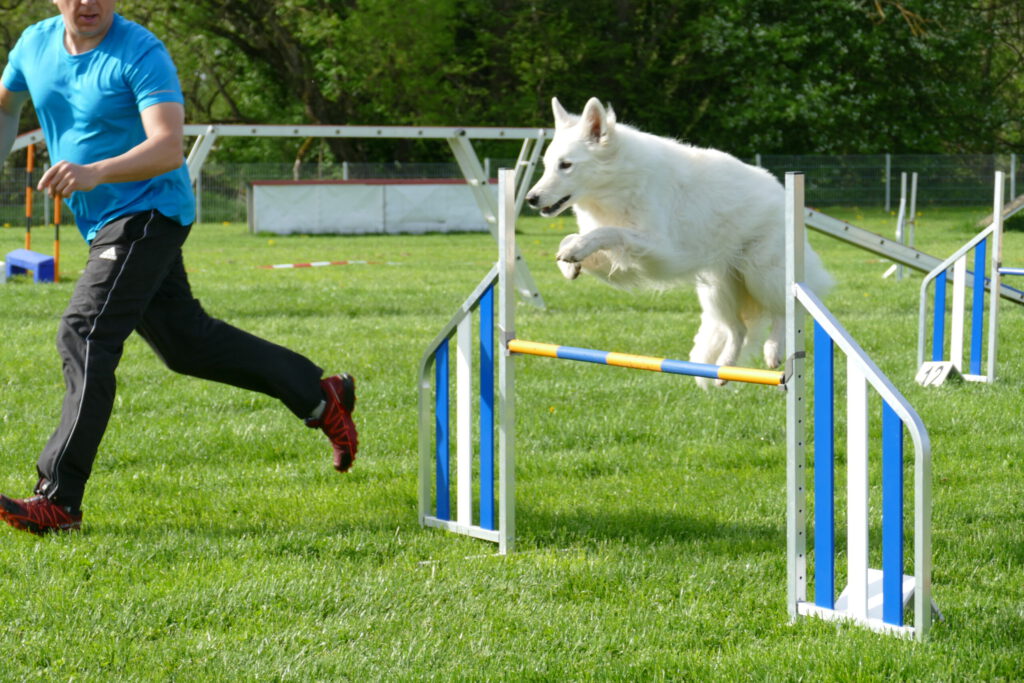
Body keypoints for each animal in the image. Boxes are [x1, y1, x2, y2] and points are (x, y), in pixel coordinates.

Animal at [525, 97, 834, 387]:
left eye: (566, 165)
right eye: (546, 166)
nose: (530, 198)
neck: (619, 181)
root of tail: (782, 191)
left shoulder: (657, 247)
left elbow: (608, 232)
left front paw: (575, 251)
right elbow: (576, 237)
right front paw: (570, 261)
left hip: (760, 275)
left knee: (783, 310)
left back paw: (773, 350)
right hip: (719, 290)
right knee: (738, 329)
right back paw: (724, 369)